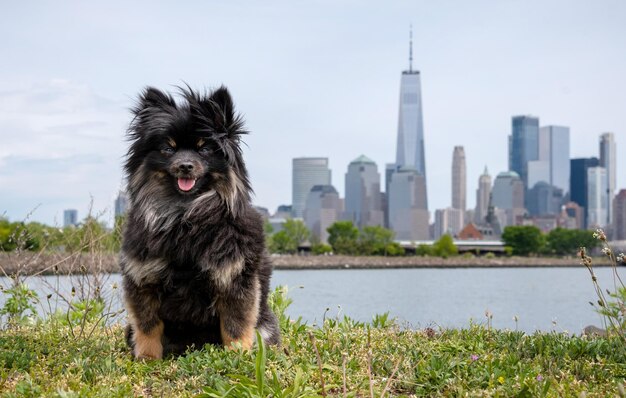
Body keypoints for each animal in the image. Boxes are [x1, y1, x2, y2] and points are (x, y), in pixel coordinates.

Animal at [119, 85, 278, 360]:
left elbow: (236, 325)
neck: (185, 214)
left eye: (204, 149)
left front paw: (237, 357)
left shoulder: (235, 279)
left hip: (265, 325)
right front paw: (146, 360)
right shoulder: (143, 278)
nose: (185, 165)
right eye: (168, 149)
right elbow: (148, 327)